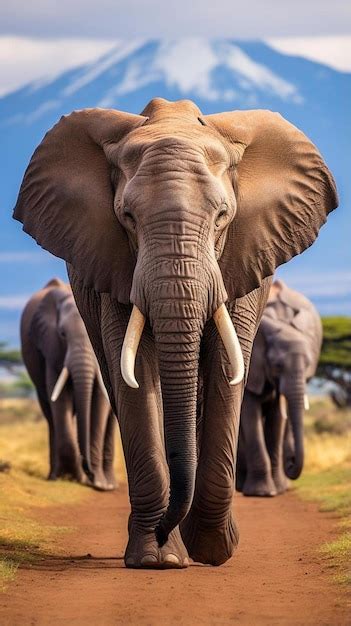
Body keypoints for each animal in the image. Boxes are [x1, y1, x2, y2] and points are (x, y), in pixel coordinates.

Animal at [20, 276, 117, 488]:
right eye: (63, 335)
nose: (88, 472)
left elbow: (100, 401)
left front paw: (98, 484)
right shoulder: (50, 345)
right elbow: (59, 397)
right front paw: (72, 477)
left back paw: (109, 483)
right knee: (50, 414)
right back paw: (53, 476)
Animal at [238, 280, 324, 494]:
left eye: (309, 365)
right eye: (277, 366)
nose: (291, 460)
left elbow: (277, 418)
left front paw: (275, 490)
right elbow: (250, 415)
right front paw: (261, 493)